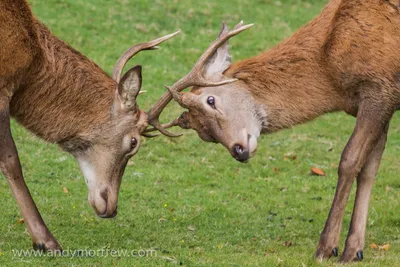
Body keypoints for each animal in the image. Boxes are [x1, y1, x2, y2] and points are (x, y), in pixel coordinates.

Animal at [147, 0, 400, 264]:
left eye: (211, 100)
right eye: (206, 135)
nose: (239, 151)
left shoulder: (380, 89)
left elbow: (349, 161)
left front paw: (328, 248)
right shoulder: (378, 104)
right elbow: (368, 170)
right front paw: (355, 250)